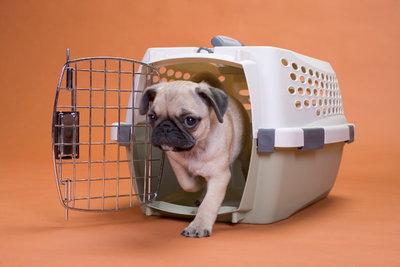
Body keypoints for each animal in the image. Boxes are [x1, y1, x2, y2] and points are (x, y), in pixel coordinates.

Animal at [139, 73, 252, 239]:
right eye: (152, 117)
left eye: (190, 120)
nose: (165, 127)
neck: (194, 149)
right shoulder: (175, 162)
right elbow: (187, 183)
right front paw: (198, 180)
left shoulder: (220, 176)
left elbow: (209, 204)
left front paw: (199, 226)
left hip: (244, 155)